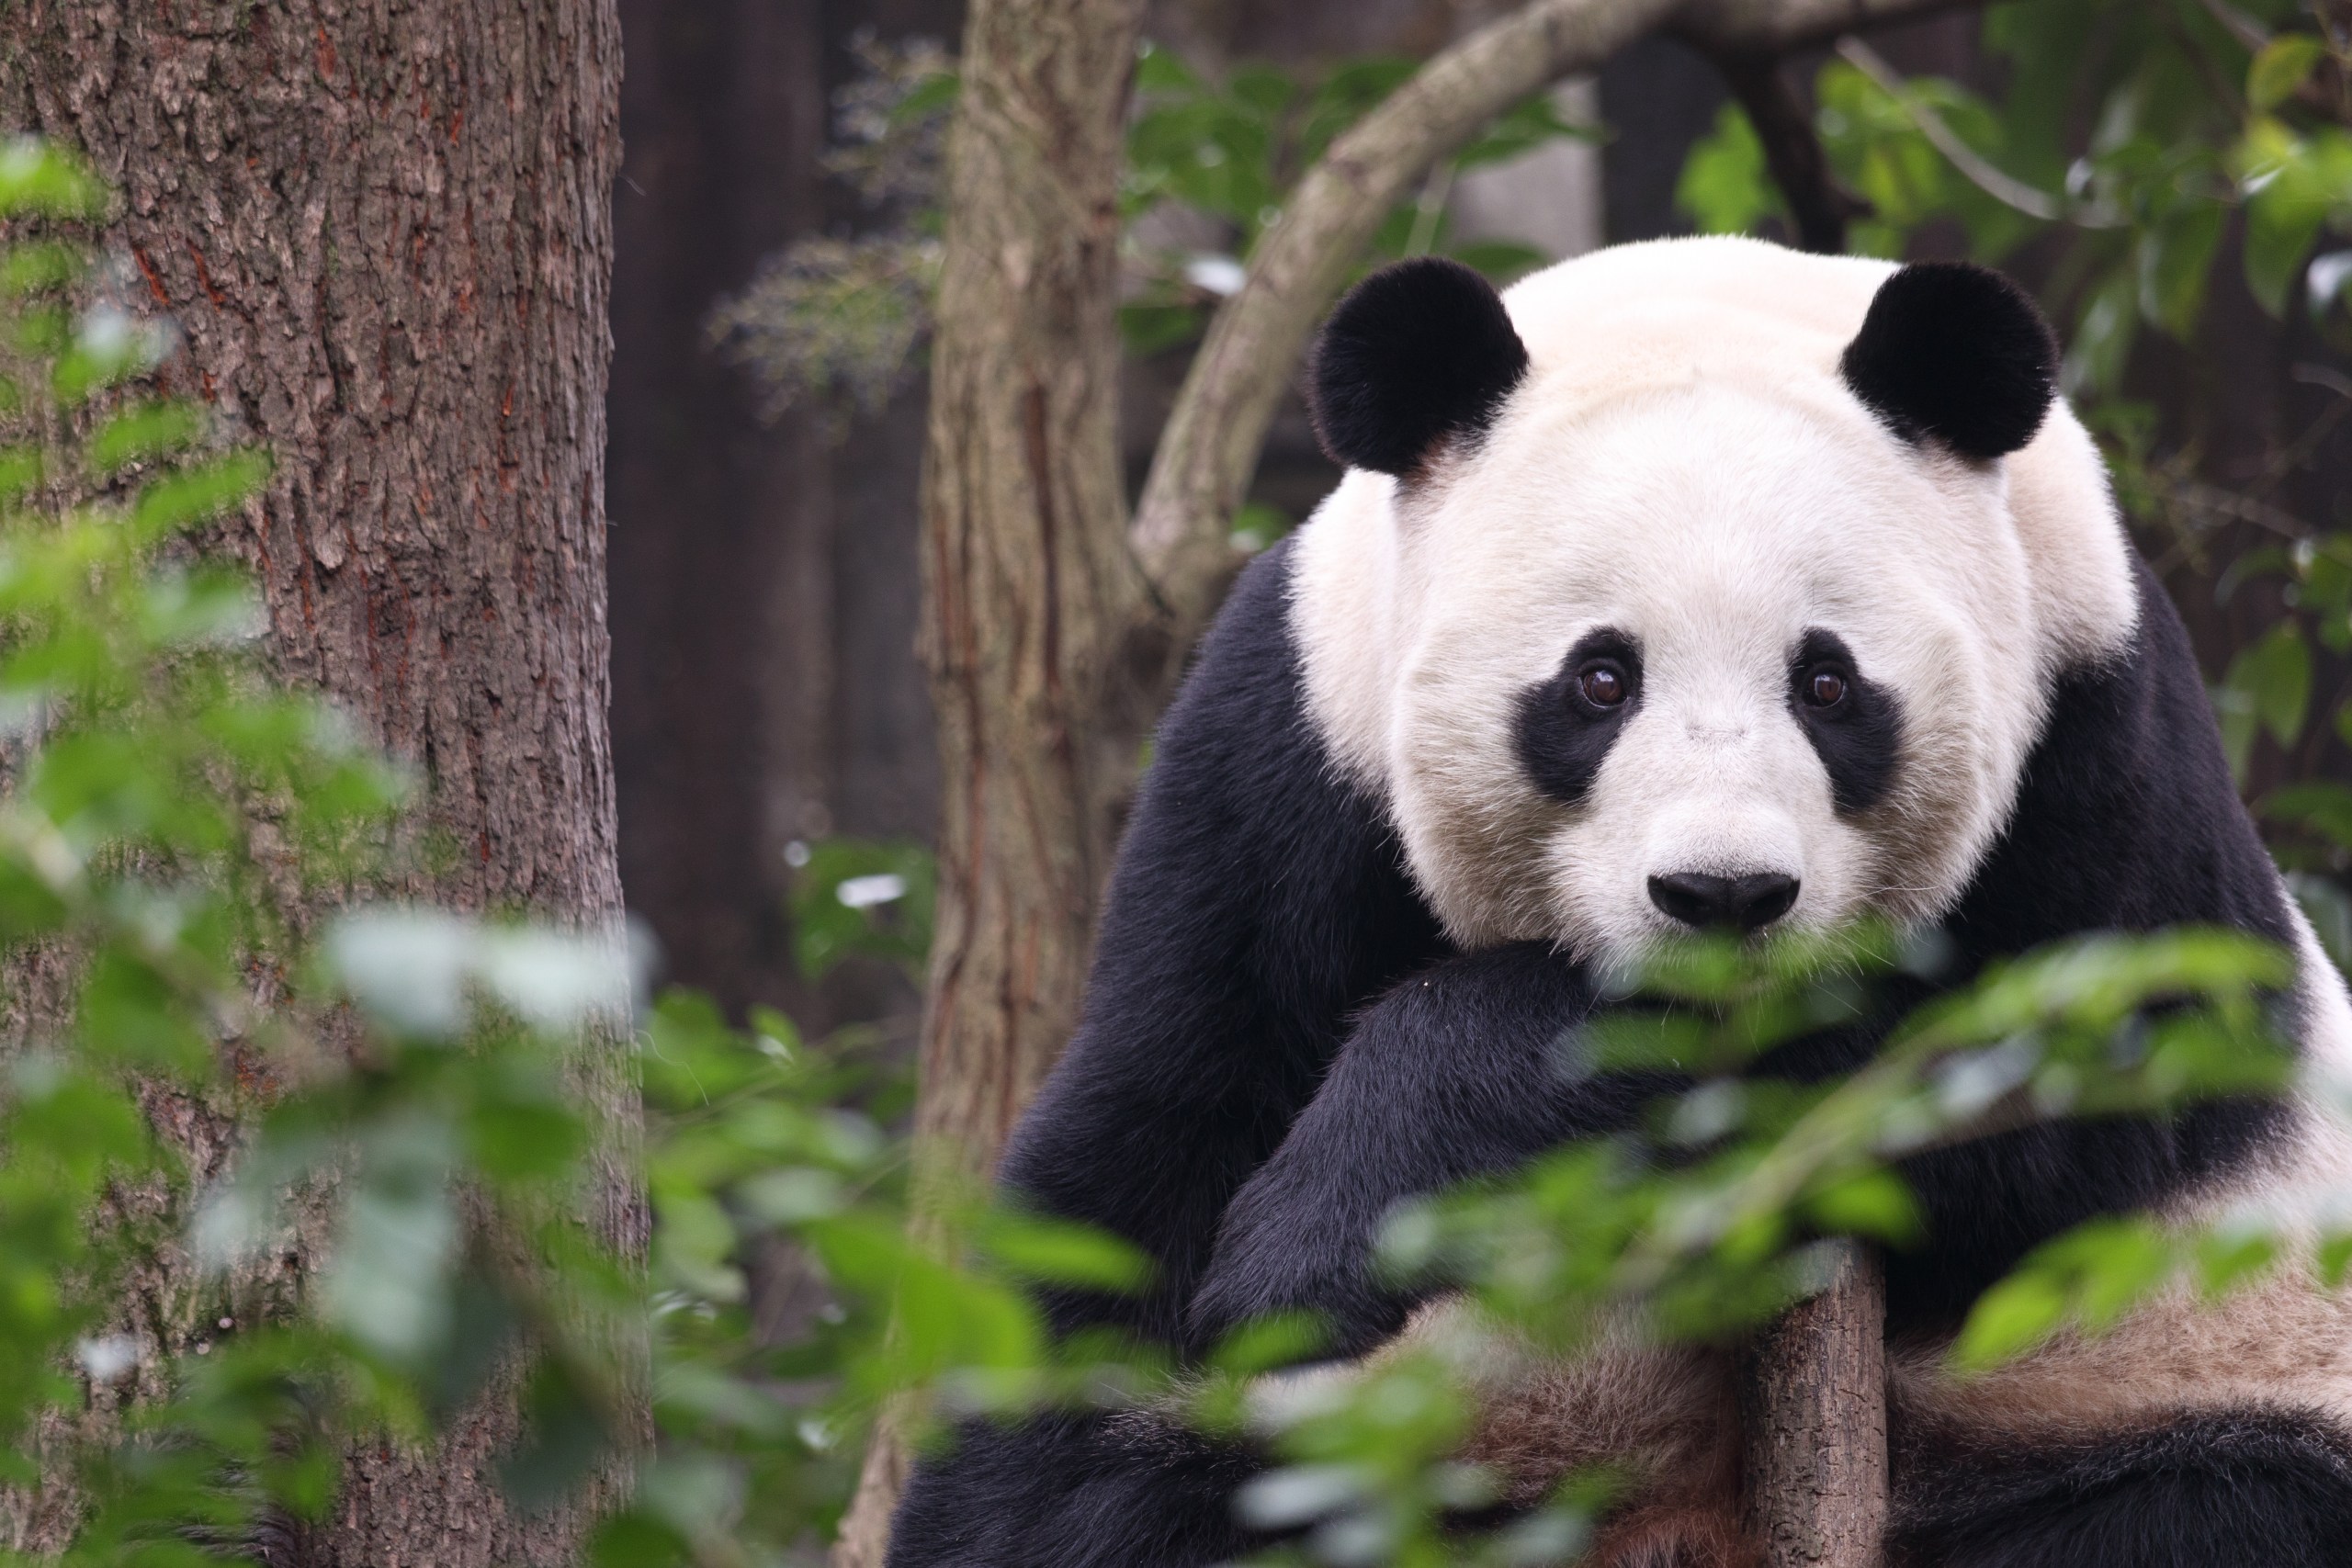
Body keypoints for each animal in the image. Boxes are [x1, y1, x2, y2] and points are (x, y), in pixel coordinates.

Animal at [885, 235, 2352, 1568]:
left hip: (2181, 1372)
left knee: (2211, 1508)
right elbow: (1164, 1116)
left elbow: (2058, 1093)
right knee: (1139, 1500)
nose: (1724, 892)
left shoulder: (2101, 740)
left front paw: (1344, 1203)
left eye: (1828, 684)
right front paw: (1282, 1264)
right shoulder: (1289, 752)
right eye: (1599, 680)